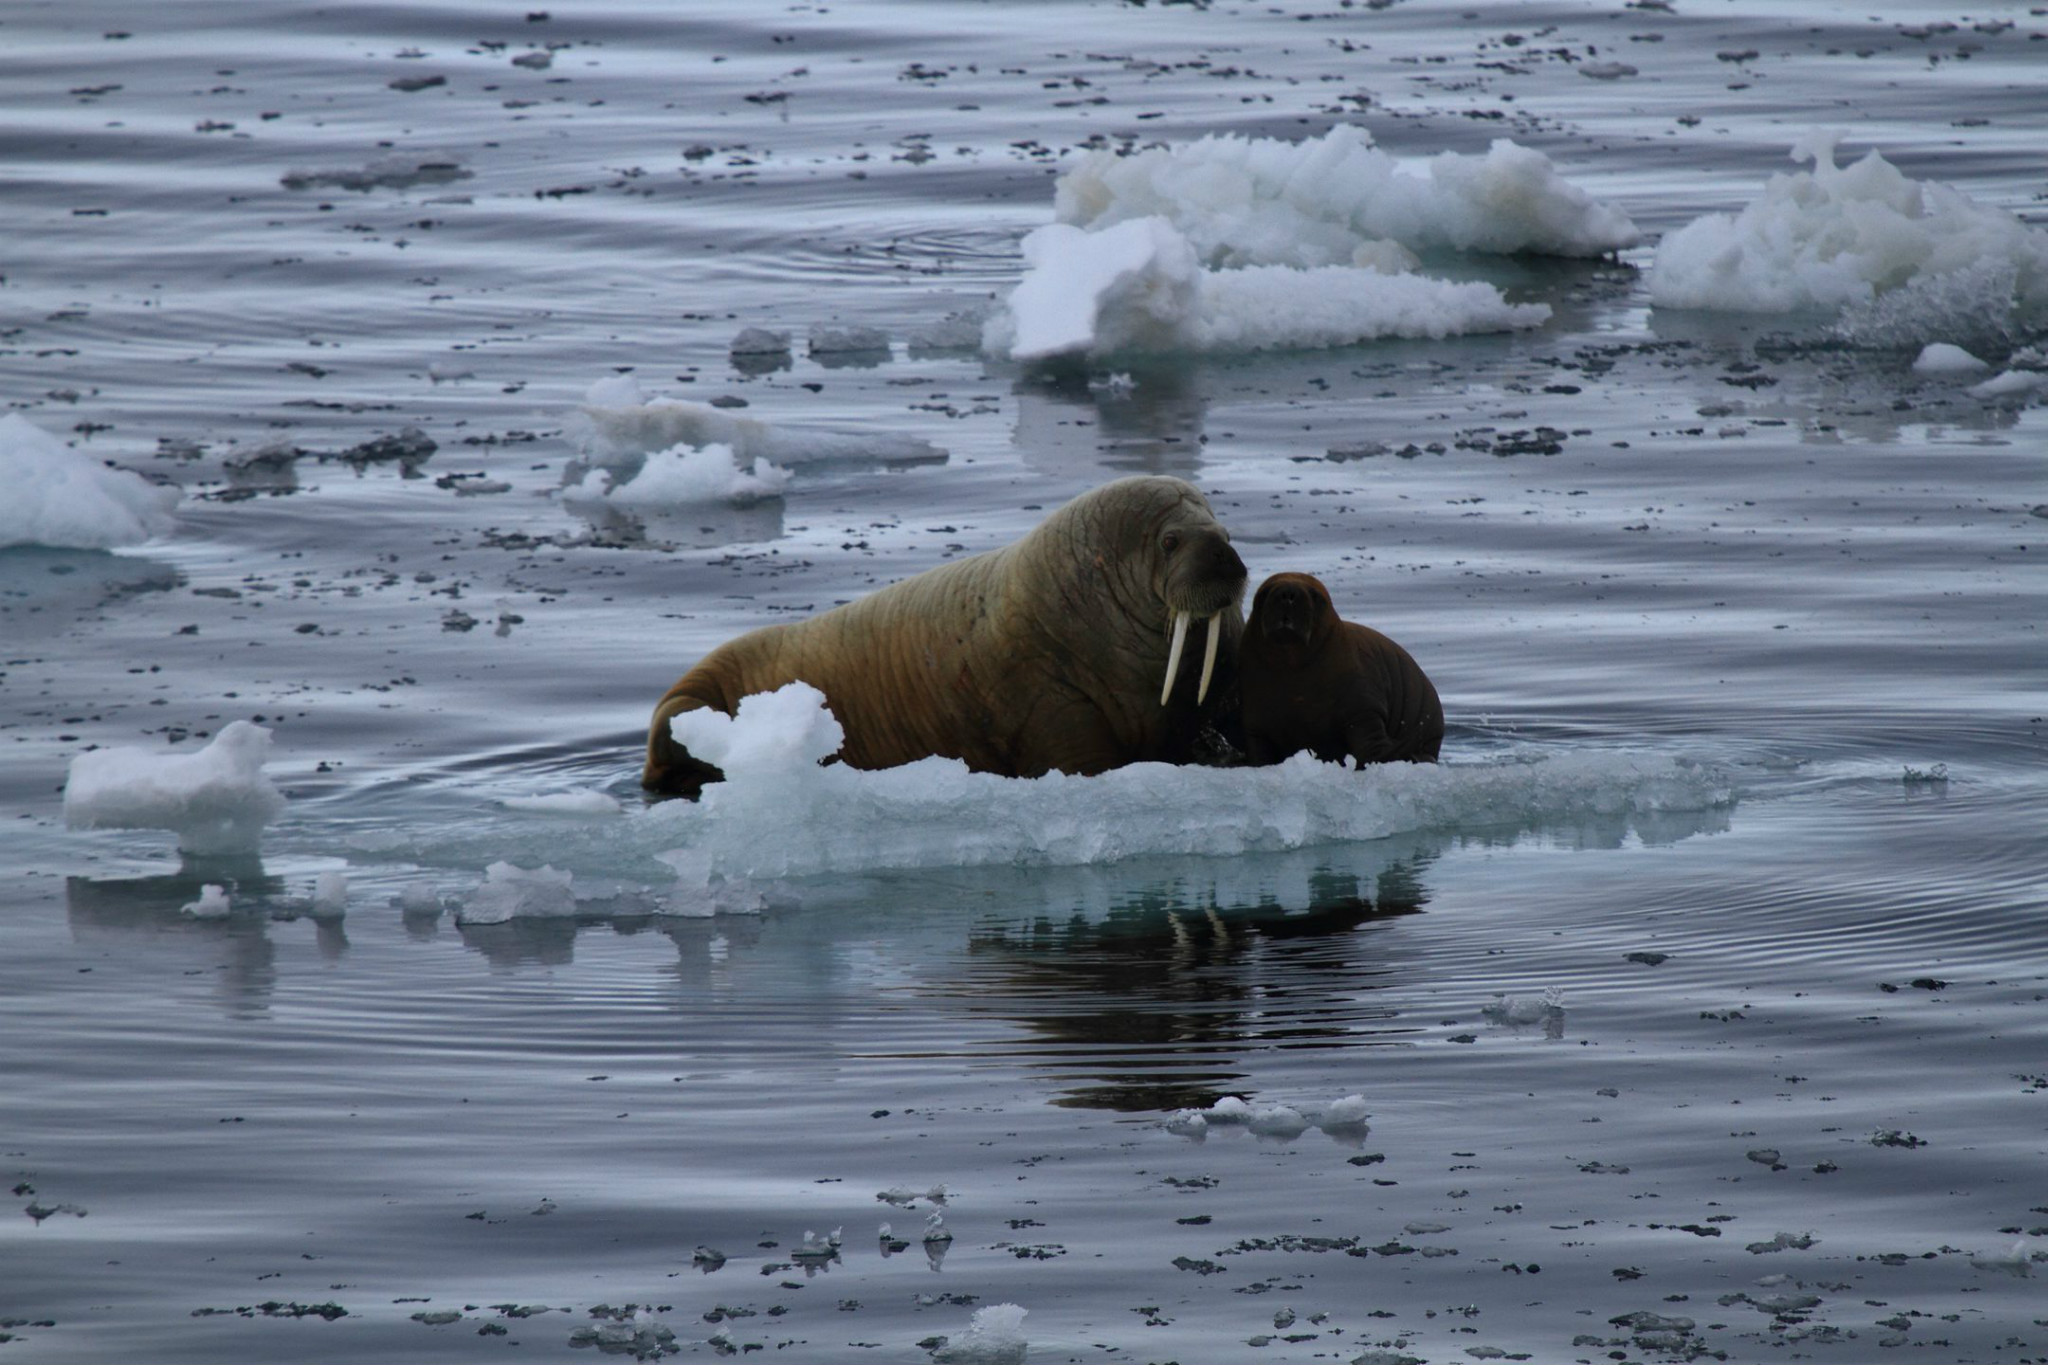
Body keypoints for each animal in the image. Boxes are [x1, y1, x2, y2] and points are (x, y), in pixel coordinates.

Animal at [638, 480, 1245, 802]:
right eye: (1170, 540)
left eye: (1225, 531)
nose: (1226, 557)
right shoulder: (1050, 701)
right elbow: (1080, 758)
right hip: (682, 707)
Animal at [1228, 573, 1441, 769]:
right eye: (1264, 593)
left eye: (1315, 595)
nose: (1287, 593)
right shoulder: (1256, 723)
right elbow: (1259, 752)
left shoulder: (1363, 707)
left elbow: (1372, 744)